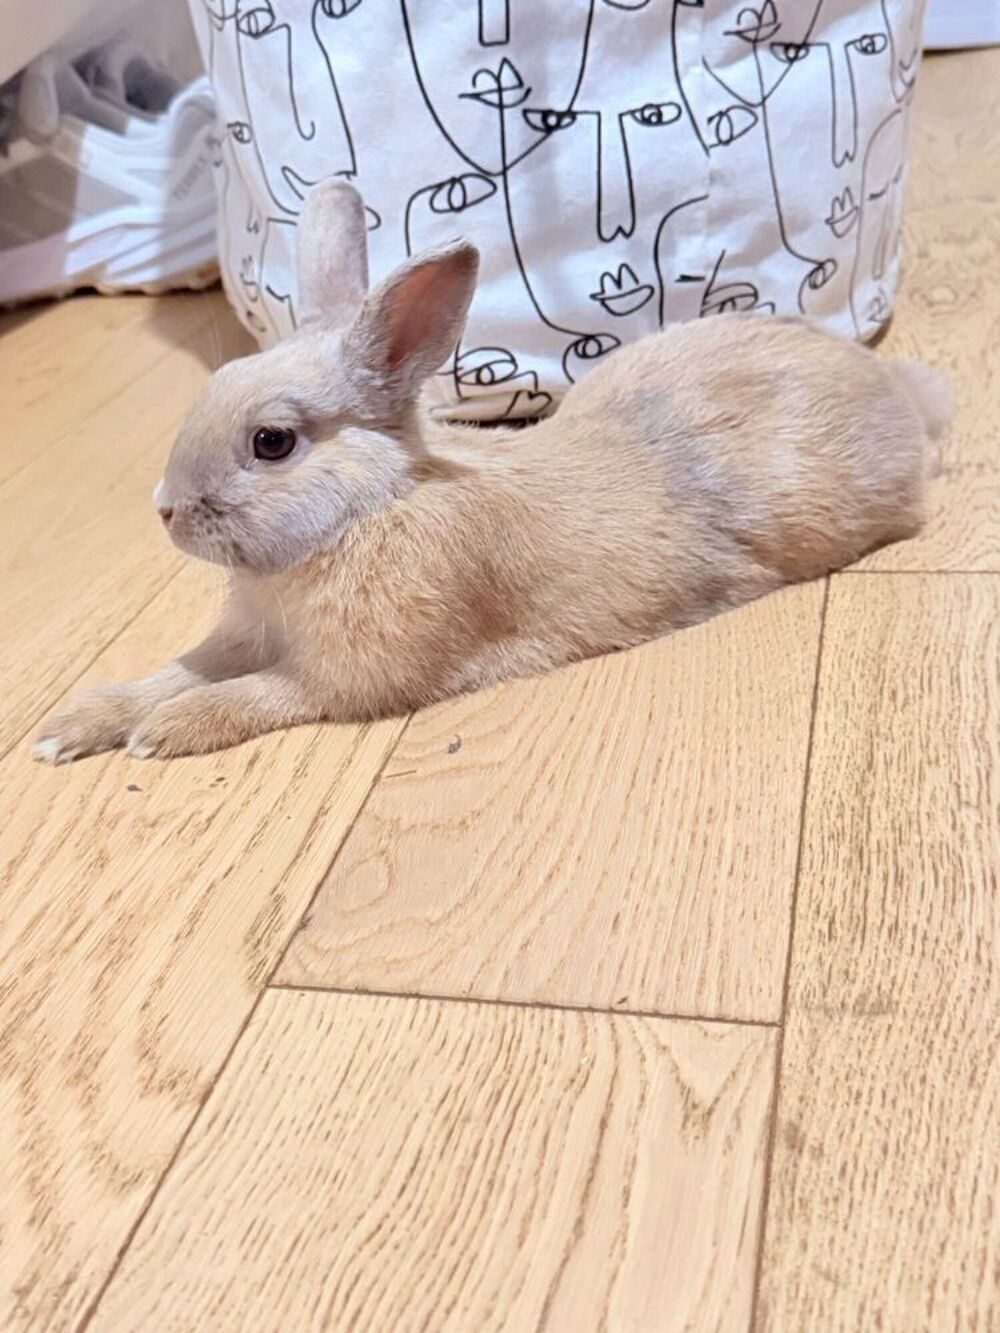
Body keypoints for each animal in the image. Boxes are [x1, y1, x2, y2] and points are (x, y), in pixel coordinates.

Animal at [34, 178, 949, 763]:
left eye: (272, 442)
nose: (166, 509)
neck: (371, 508)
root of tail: (892, 389)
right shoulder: (242, 636)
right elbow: (174, 670)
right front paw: (72, 724)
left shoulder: (341, 675)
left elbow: (250, 695)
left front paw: (166, 732)